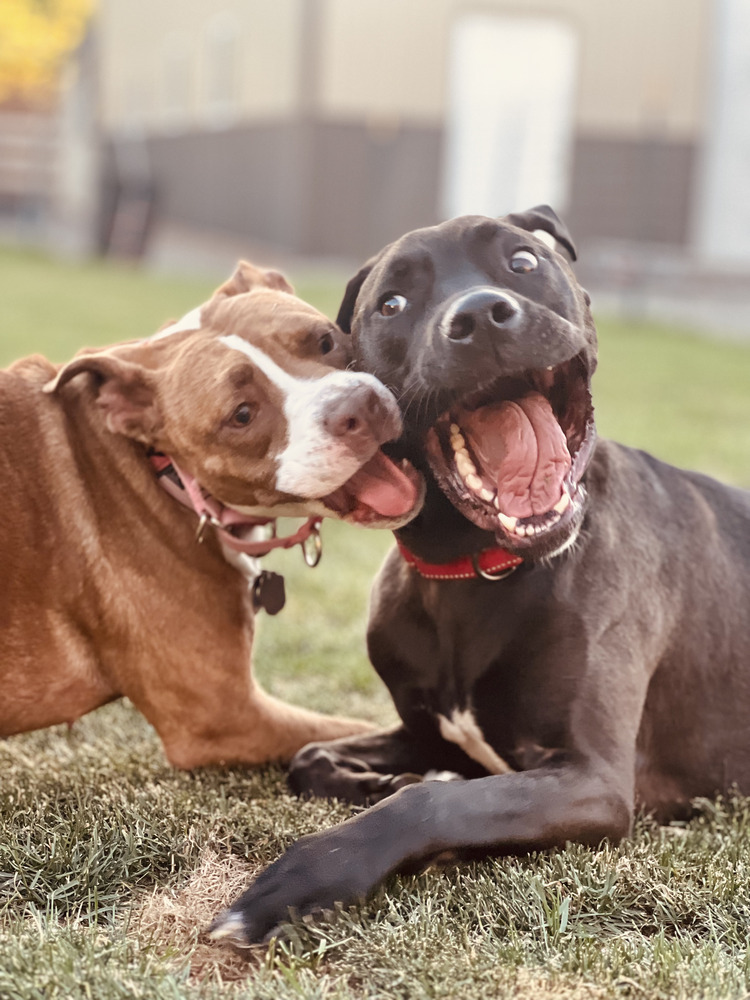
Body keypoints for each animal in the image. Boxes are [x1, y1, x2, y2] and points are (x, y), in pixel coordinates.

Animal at [1, 264, 424, 764]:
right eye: (241, 415)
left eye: (324, 340)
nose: (356, 407)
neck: (165, 473)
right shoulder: (228, 715)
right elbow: (361, 728)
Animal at [209, 205, 750, 944]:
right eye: (393, 304)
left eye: (522, 262)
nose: (482, 315)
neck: (474, 573)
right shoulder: (424, 732)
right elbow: (311, 758)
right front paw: (373, 783)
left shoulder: (596, 781)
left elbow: (432, 801)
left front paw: (304, 879)